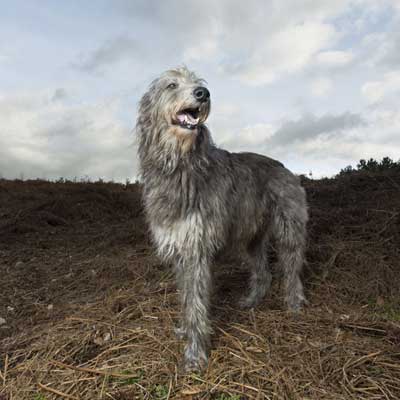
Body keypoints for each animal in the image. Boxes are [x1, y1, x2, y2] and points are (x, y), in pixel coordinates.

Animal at [136, 66, 308, 372]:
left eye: (197, 83)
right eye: (171, 85)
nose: (203, 93)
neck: (182, 165)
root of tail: (284, 167)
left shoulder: (197, 250)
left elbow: (196, 303)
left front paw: (195, 355)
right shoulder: (180, 250)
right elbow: (186, 297)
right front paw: (184, 329)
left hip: (289, 229)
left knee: (292, 270)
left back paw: (294, 304)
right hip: (252, 237)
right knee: (263, 272)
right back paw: (251, 300)